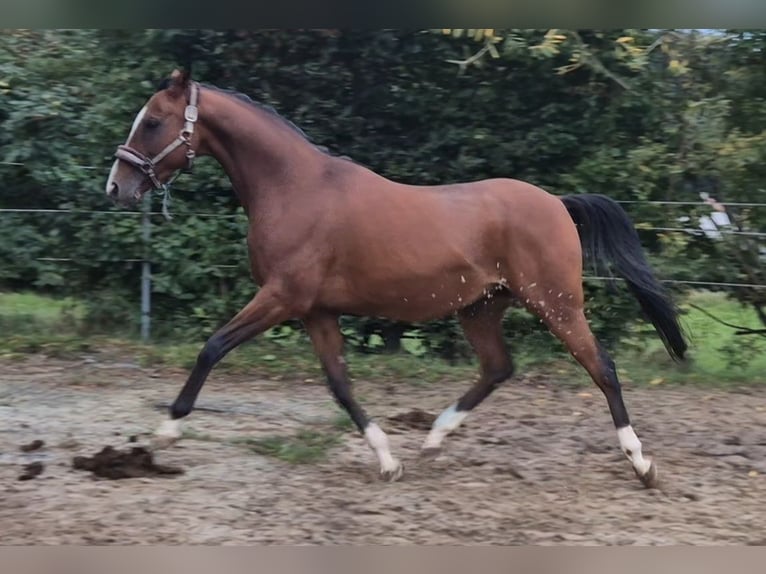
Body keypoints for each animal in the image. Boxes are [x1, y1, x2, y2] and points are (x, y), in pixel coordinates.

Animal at [105, 69, 687, 488]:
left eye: (153, 121)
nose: (117, 186)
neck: (296, 187)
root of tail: (558, 204)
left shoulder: (282, 297)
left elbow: (212, 348)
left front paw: (163, 435)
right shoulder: (316, 311)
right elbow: (340, 384)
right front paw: (387, 460)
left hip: (556, 303)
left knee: (601, 367)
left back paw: (642, 464)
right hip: (481, 307)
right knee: (498, 368)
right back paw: (432, 440)